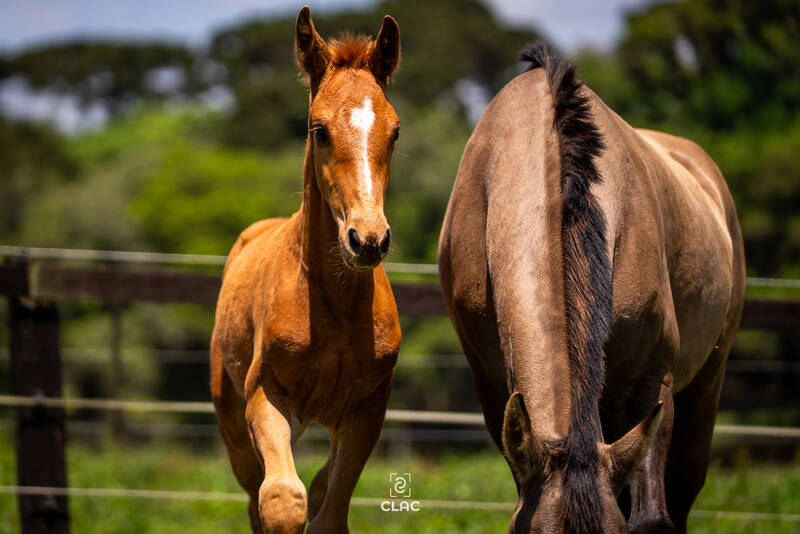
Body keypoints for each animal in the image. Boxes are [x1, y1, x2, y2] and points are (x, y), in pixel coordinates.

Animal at [211, 6, 404, 532]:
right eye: (319, 130)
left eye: (395, 131)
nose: (368, 239)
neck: (334, 307)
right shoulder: (267, 395)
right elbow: (282, 499)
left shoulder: (366, 408)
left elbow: (328, 508)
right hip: (231, 419)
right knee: (255, 494)